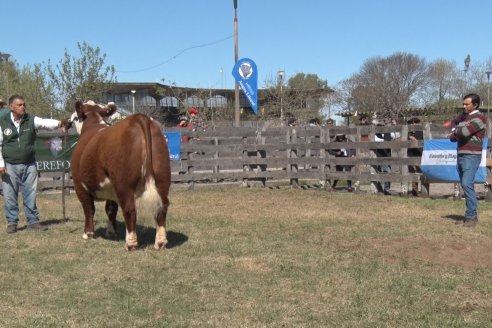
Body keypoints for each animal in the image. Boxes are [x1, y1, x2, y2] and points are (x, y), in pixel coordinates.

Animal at [68, 101, 170, 250]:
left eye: (74, 118)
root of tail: (139, 118)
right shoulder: (111, 188)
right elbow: (111, 209)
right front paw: (111, 232)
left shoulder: (79, 185)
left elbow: (89, 209)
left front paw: (88, 234)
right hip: (162, 178)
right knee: (162, 207)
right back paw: (160, 242)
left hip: (124, 183)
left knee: (129, 209)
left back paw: (131, 243)